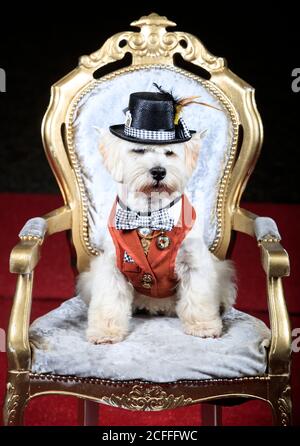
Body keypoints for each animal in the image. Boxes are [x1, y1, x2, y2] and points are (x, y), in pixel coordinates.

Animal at [76, 129, 236, 344]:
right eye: (139, 150)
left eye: (169, 152)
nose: (159, 171)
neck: (149, 216)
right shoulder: (111, 266)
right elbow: (109, 301)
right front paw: (105, 332)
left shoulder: (194, 263)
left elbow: (199, 296)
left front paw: (203, 326)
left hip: (222, 271)